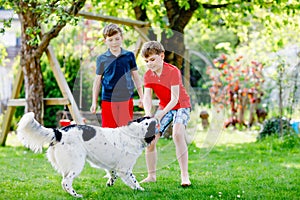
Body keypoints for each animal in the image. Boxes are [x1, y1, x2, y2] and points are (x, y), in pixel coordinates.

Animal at [17, 111, 157, 198]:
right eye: (154, 123)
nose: (158, 120)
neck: (134, 133)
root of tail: (59, 132)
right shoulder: (125, 169)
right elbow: (134, 181)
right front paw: (141, 190)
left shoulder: (112, 166)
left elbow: (113, 175)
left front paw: (110, 183)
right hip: (77, 164)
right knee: (66, 181)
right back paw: (76, 195)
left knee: (64, 181)